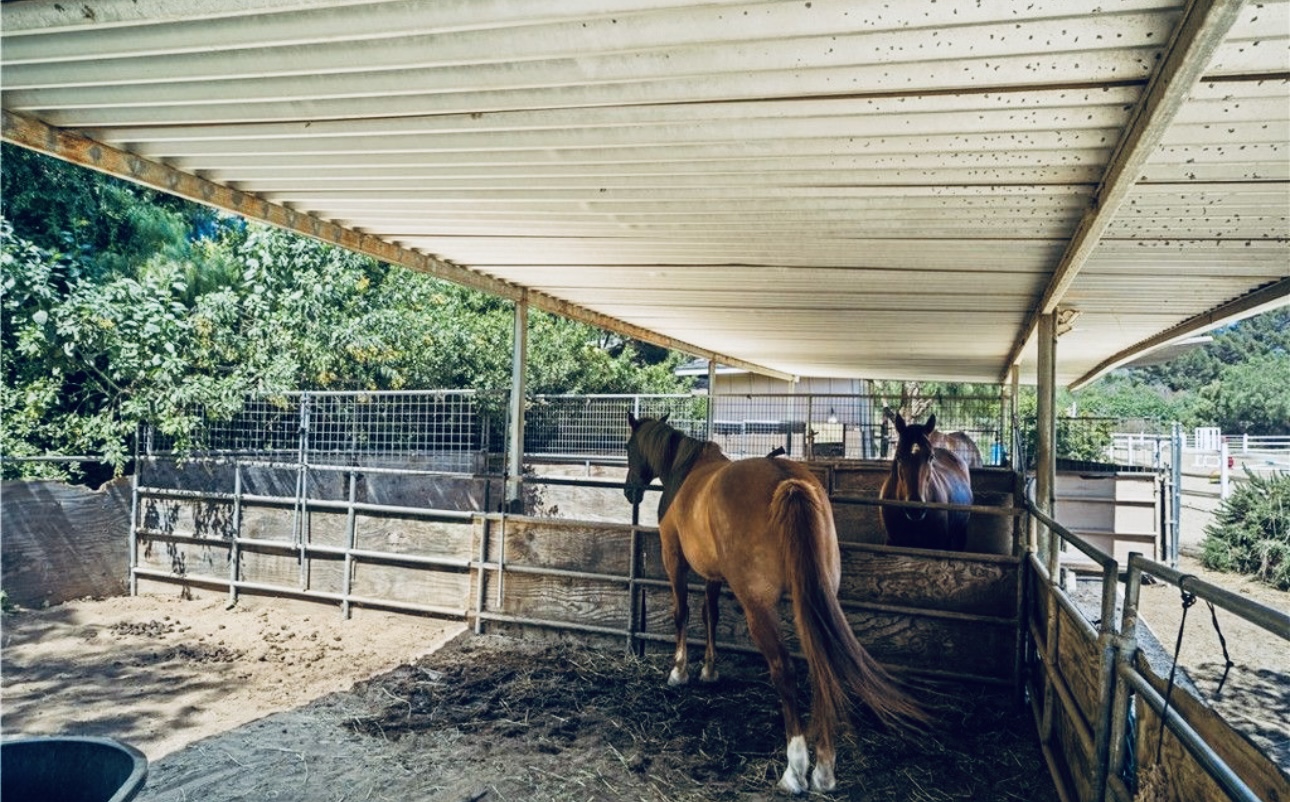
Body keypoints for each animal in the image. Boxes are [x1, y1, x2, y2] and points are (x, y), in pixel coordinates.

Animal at [623, 413, 927, 794]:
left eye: (629, 447)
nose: (629, 490)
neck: (686, 472)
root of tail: (789, 481)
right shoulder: (713, 572)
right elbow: (711, 614)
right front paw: (709, 669)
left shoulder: (673, 558)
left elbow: (683, 613)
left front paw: (680, 671)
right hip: (811, 599)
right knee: (820, 664)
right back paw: (824, 770)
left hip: (759, 607)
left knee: (785, 669)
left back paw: (795, 770)